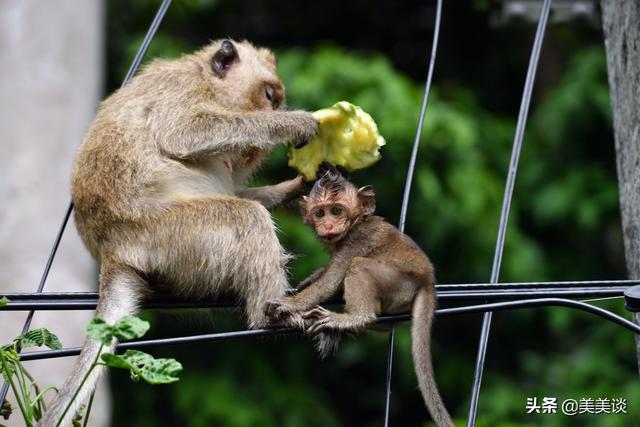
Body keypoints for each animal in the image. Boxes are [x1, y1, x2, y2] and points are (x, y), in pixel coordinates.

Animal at [40, 38, 318, 426]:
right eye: (268, 96)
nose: (274, 108)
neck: (204, 78)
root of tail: (114, 251)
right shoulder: (181, 90)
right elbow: (184, 133)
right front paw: (294, 123)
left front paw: (295, 188)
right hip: (171, 235)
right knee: (246, 217)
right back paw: (271, 314)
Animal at [264, 164, 456, 427]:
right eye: (319, 213)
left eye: (336, 210)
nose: (328, 225)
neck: (356, 223)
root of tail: (427, 280)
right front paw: (308, 281)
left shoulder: (357, 240)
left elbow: (330, 281)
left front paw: (290, 304)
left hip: (398, 284)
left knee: (359, 266)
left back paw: (354, 318)